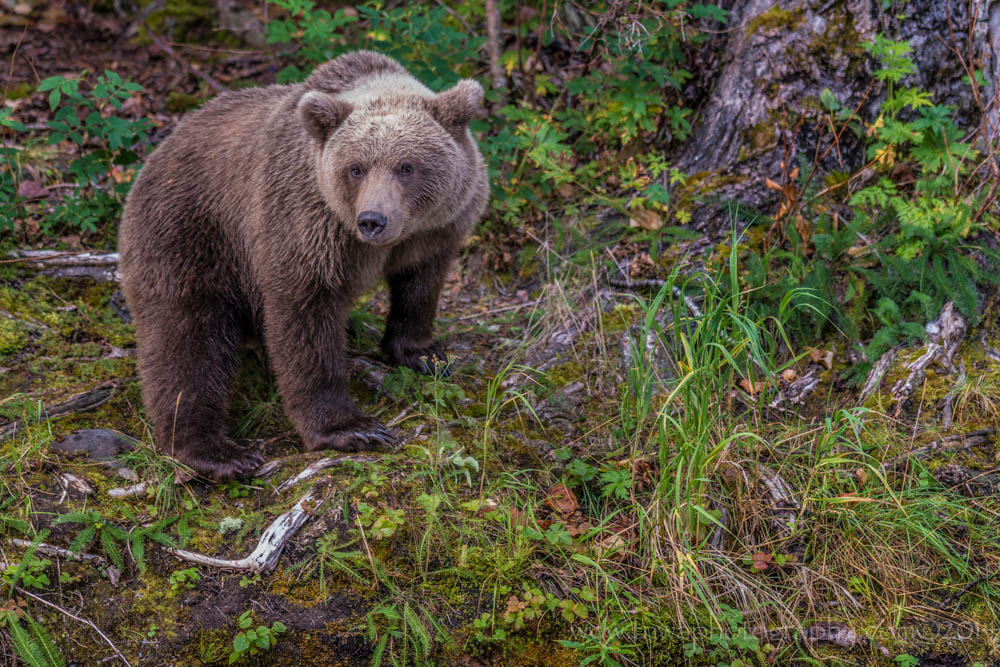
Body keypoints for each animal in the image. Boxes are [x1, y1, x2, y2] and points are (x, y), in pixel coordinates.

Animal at [121, 51, 488, 480]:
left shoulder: (438, 230)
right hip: (191, 230)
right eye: (356, 167)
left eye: (407, 166)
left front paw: (424, 354)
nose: (373, 220)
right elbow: (306, 321)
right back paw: (217, 451)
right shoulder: (305, 223)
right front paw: (351, 428)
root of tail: (157, 152)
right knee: (186, 337)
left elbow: (421, 286)